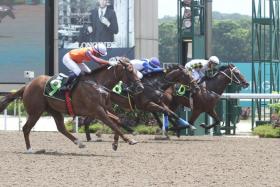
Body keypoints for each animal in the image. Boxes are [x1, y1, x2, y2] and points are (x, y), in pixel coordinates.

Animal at [0, 57, 144, 153]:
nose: (140, 87)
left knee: (61, 128)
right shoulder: (97, 111)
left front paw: (115, 143)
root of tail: (27, 86)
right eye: (130, 70)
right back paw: (30, 149)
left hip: (54, 110)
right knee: (26, 128)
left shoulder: (102, 109)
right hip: (36, 111)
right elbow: (112, 124)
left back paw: (79, 143)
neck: (97, 84)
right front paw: (129, 140)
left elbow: (117, 121)